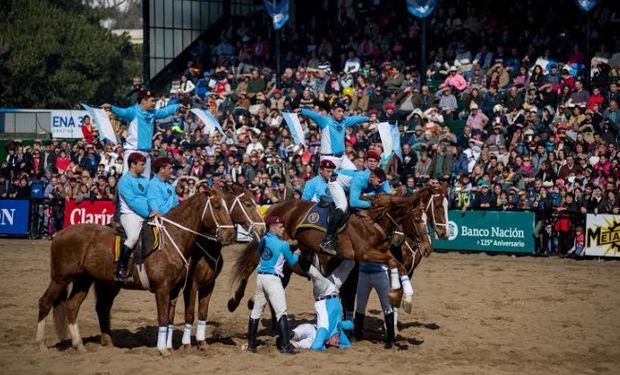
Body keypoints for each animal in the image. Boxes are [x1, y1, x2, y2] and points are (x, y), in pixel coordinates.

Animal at [35, 189, 235, 356]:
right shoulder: (163, 288)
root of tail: (59, 234)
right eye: (217, 206)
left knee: (73, 307)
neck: (172, 238)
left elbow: (170, 318)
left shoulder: (175, 289)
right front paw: (163, 350)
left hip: (84, 280)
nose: (231, 235)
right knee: (45, 302)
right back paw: (41, 345)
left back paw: (80, 345)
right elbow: (163, 317)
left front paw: (169, 347)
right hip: (60, 279)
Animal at [230, 185, 448, 318]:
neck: (374, 220)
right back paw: (236, 299)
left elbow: (397, 265)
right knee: (251, 265)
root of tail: (277, 206)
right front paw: (397, 295)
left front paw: (401, 297)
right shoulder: (364, 254)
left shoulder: (382, 255)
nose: (428, 247)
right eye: (417, 217)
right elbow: (395, 263)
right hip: (271, 244)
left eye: (426, 216)